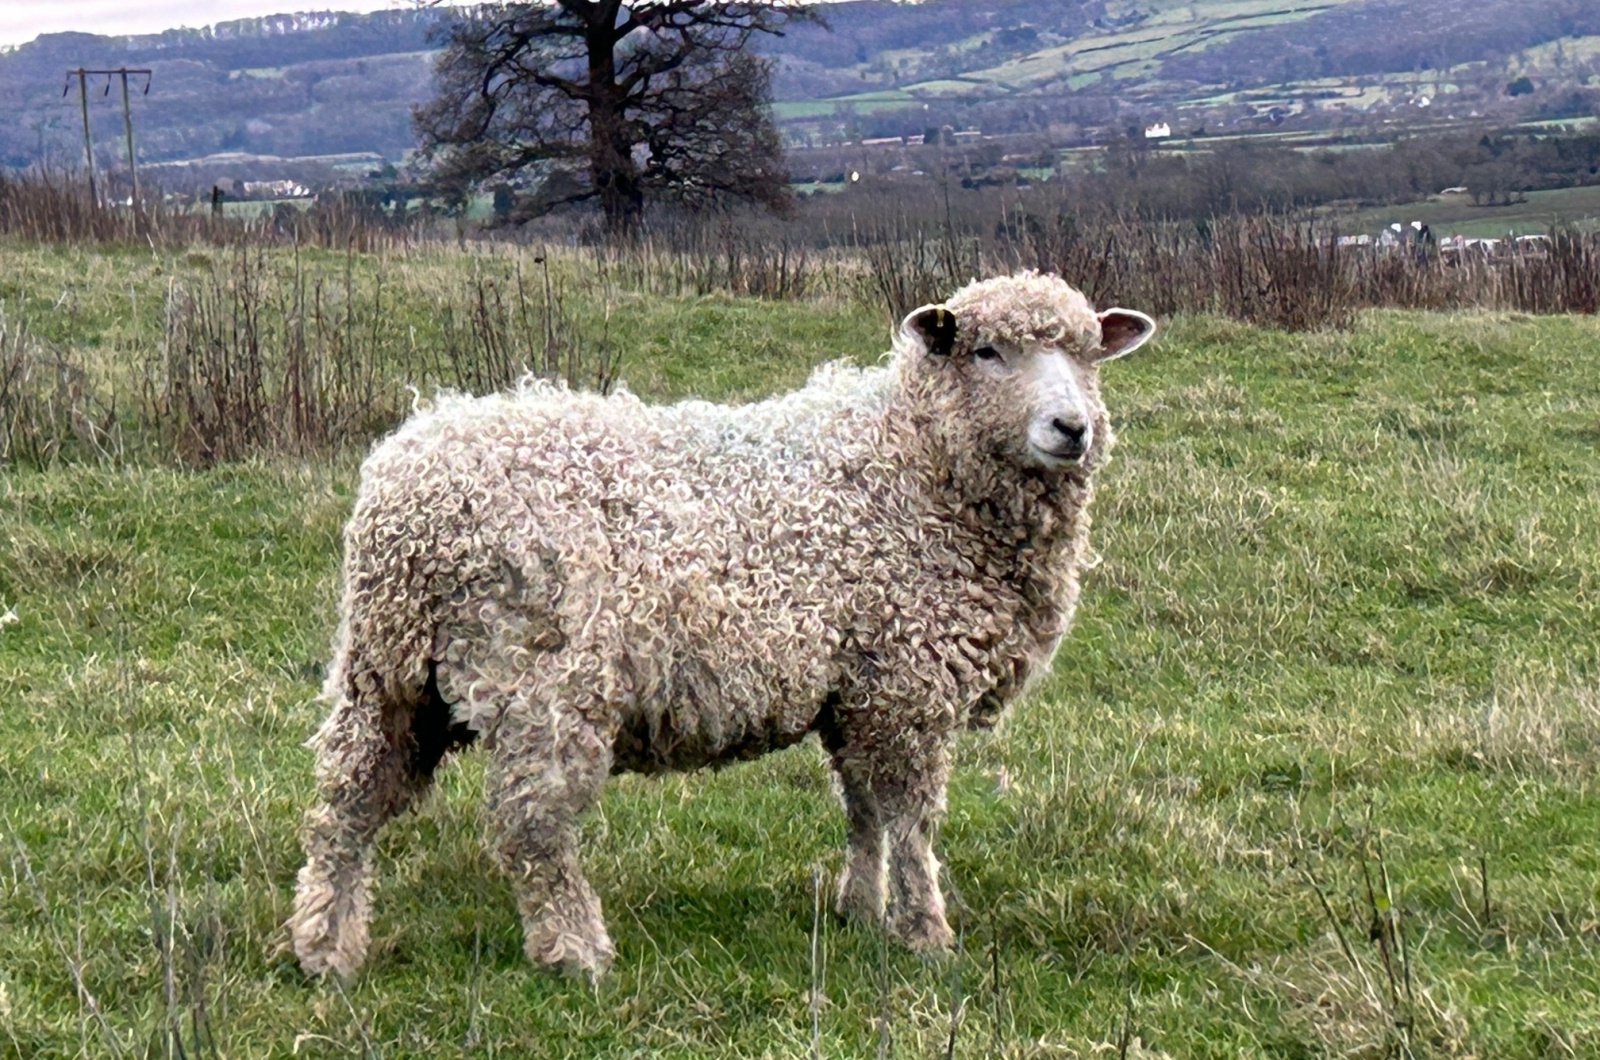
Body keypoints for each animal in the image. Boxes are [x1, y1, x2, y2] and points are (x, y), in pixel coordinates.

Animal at [288, 270, 1158, 986]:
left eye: (1089, 354)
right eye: (986, 351)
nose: (1071, 428)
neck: (911, 465)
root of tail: (407, 485)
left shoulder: (858, 689)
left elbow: (863, 811)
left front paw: (860, 910)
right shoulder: (905, 685)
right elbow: (911, 819)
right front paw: (924, 934)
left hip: (388, 672)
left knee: (346, 802)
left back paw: (325, 949)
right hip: (541, 675)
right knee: (530, 825)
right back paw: (574, 952)